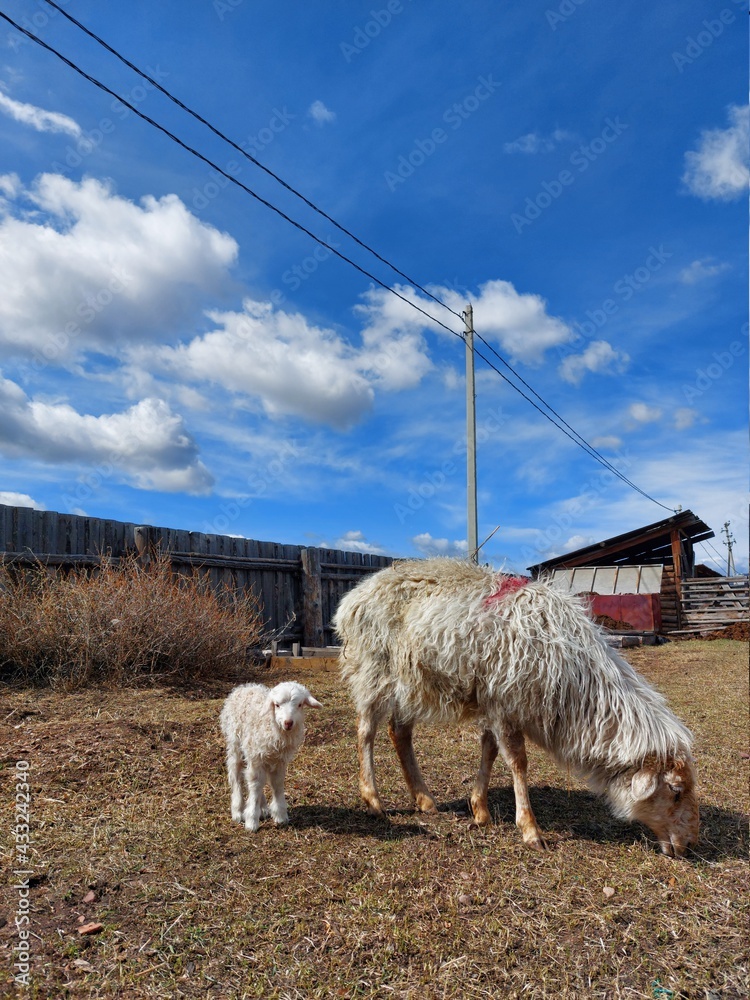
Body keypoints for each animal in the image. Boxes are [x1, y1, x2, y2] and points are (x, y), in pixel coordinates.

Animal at [219, 680, 322, 832]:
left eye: (299, 705)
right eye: (277, 705)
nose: (288, 723)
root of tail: (245, 686)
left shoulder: (279, 761)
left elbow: (276, 783)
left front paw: (280, 816)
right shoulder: (256, 757)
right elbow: (255, 784)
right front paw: (251, 821)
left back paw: (263, 809)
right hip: (235, 743)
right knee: (236, 774)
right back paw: (238, 811)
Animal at [333, 557, 699, 858]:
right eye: (676, 791)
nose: (688, 845)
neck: (578, 681)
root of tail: (354, 596)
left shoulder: (496, 702)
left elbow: (490, 750)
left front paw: (480, 810)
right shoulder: (506, 702)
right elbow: (518, 762)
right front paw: (529, 829)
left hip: (410, 681)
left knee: (400, 732)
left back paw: (424, 800)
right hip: (373, 669)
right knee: (366, 731)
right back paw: (373, 799)